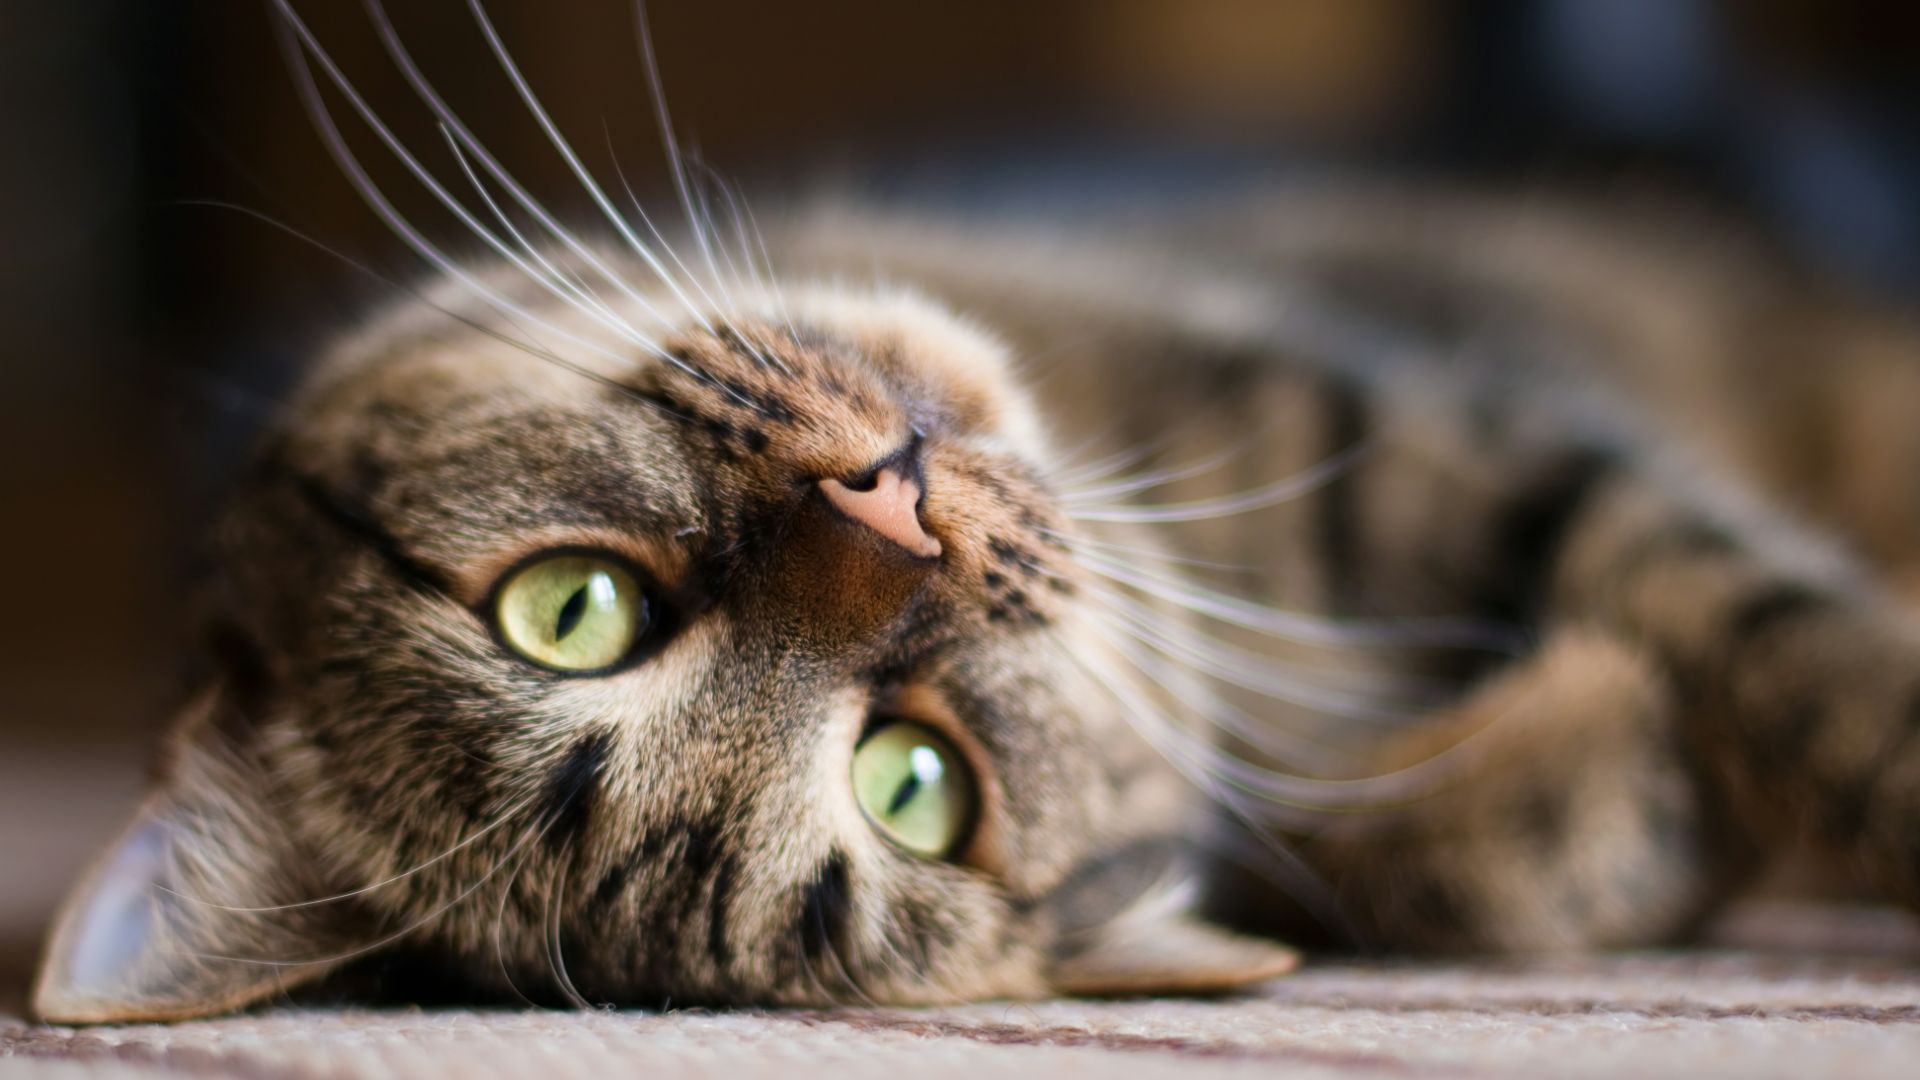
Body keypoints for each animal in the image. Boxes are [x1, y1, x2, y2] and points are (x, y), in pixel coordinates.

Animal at [33, 2, 1920, 1022]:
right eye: (918, 783)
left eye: (570, 608)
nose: (897, 509)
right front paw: (1586, 782)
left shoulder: (1412, 422)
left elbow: (1788, 645)